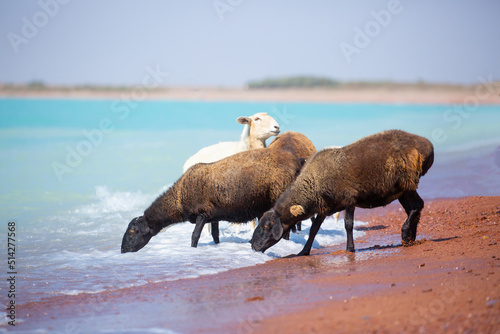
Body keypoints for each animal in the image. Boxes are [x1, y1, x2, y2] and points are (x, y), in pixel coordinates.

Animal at [120, 132, 314, 252]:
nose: (122, 250)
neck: (180, 195)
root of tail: (297, 160)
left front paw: (192, 250)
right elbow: (215, 235)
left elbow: (195, 236)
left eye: (132, 231)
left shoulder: (202, 213)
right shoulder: (213, 216)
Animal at [252, 130, 436, 256]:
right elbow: (313, 229)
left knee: (417, 206)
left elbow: (348, 225)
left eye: (267, 226)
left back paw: (405, 232)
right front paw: (303, 251)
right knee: (415, 207)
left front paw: (350, 248)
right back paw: (409, 237)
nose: (252, 245)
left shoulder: (349, 200)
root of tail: (428, 145)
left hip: (406, 183)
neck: (313, 184)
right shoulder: (325, 207)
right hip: (402, 189)